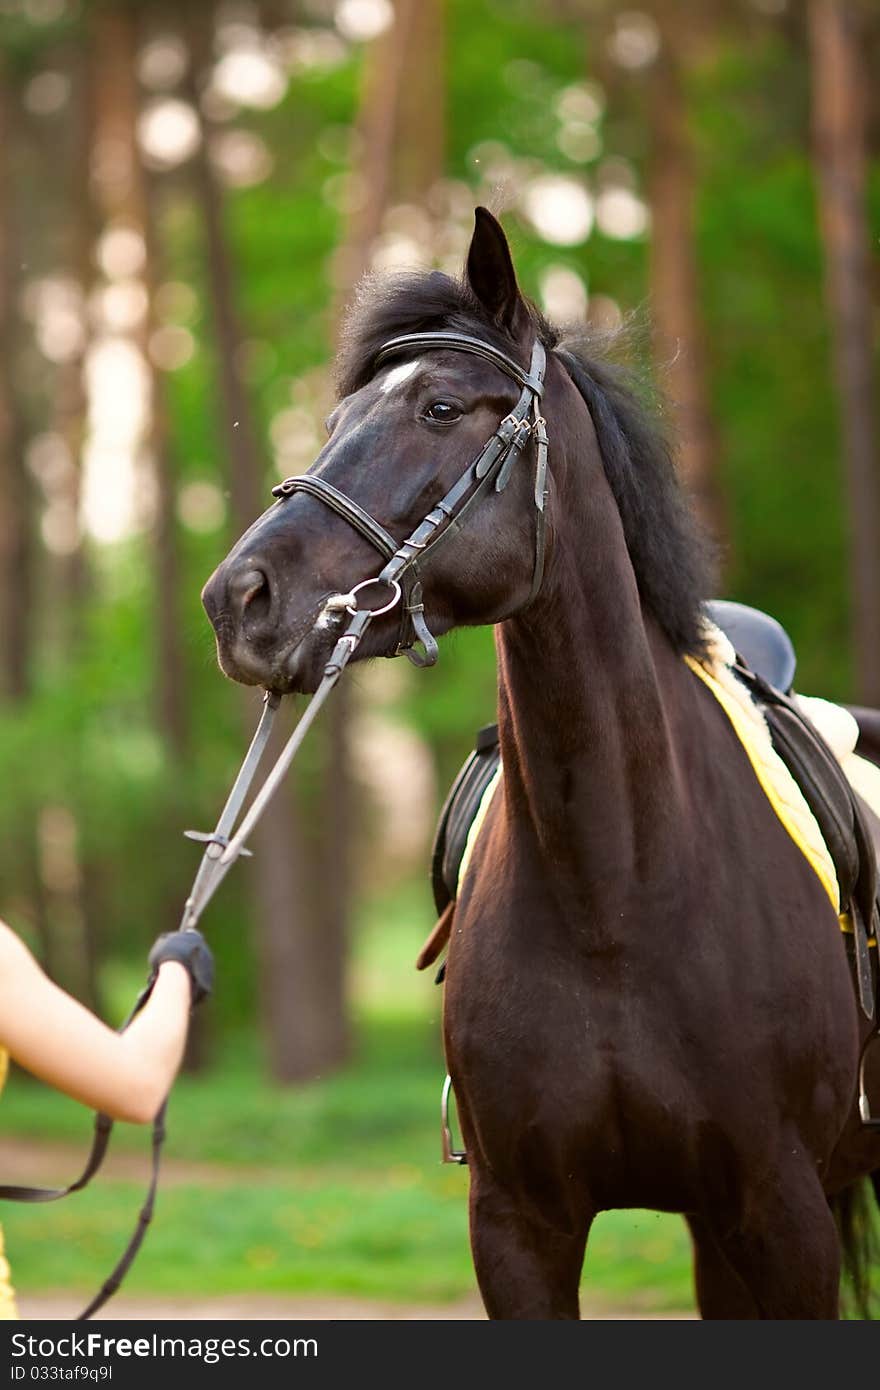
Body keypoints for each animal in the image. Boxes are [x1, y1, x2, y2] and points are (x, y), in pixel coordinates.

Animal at [202, 202, 873, 1312]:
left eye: (438, 407)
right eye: (338, 424)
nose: (236, 601)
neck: (618, 889)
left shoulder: (785, 1221)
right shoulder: (521, 1226)